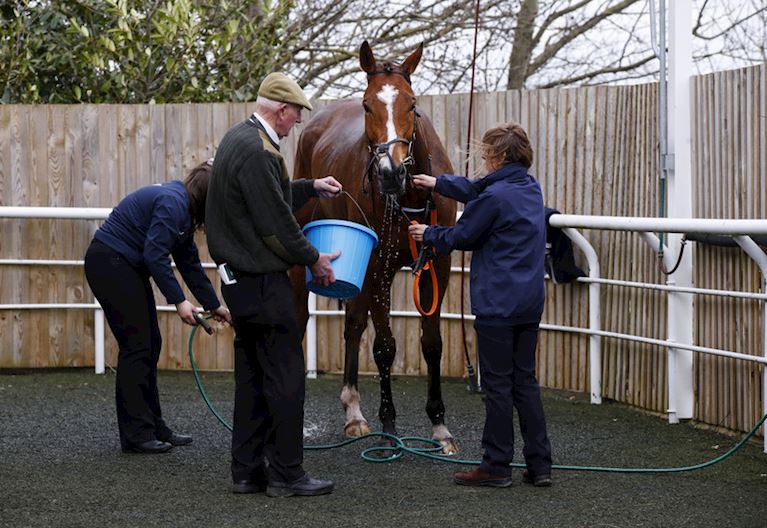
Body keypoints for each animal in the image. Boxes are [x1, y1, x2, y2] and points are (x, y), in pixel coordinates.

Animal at [286, 41, 456, 454]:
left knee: (352, 325)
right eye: (366, 105)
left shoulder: (438, 265)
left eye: (412, 104)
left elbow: (432, 343)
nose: (390, 171)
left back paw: (353, 411)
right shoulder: (380, 267)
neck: (409, 195)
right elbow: (385, 347)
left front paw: (439, 426)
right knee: (301, 319)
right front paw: (389, 426)